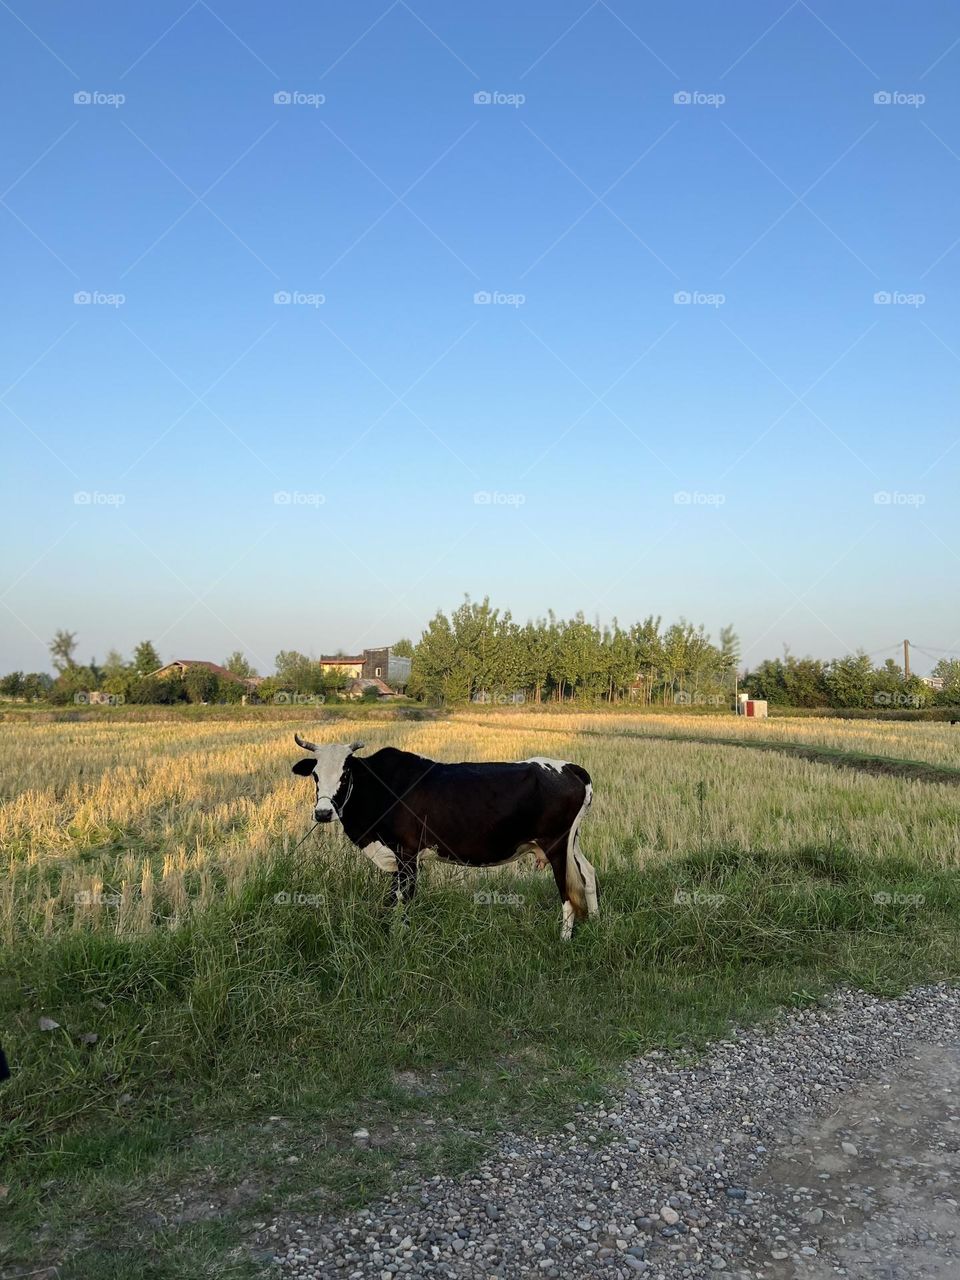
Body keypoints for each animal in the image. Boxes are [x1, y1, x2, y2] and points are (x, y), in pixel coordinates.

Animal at [291, 735, 599, 939]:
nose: (322, 813)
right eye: (315, 775)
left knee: (567, 892)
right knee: (588, 872)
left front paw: (399, 939)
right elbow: (390, 897)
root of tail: (570, 767)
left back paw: (564, 939)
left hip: (557, 846)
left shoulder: (407, 853)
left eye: (344, 774)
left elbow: (403, 897)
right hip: (572, 843)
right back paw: (596, 922)